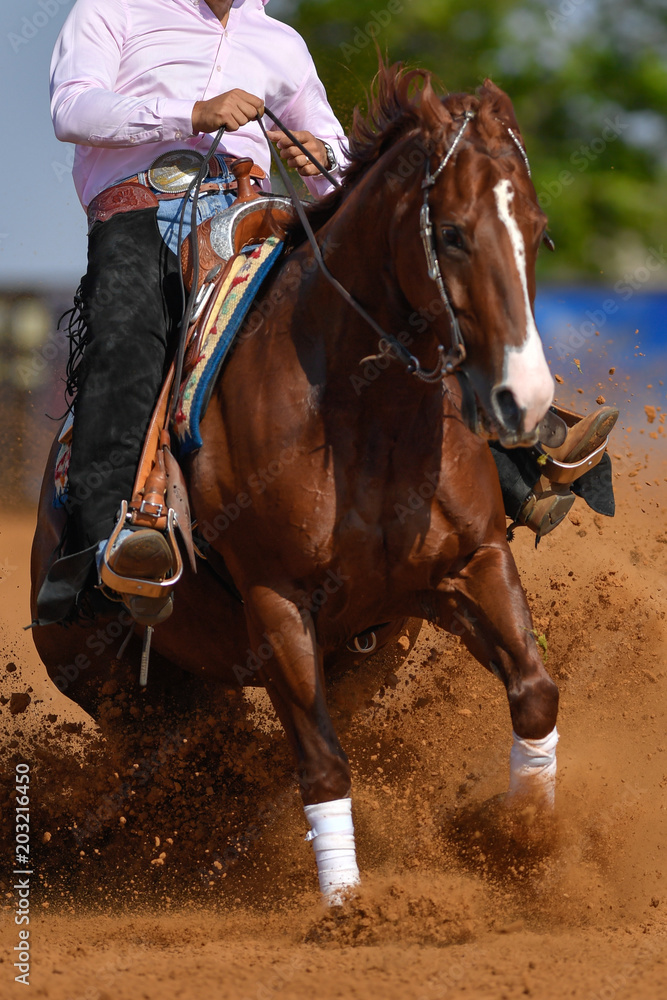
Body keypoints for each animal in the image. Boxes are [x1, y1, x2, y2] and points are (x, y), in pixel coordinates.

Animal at [31, 64, 560, 902]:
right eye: (450, 233)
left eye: (537, 233)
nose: (526, 402)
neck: (364, 420)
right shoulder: (277, 601)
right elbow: (322, 765)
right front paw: (345, 906)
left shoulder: (472, 564)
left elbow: (534, 692)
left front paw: (530, 846)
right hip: (111, 685)